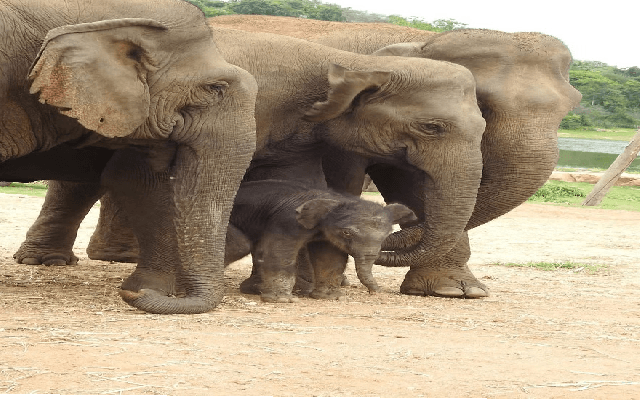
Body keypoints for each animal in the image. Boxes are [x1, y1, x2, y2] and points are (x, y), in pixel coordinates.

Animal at [224, 179, 417, 302]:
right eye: (347, 233)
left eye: (386, 235)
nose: (375, 292)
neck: (335, 198)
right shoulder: (286, 221)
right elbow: (279, 250)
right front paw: (282, 300)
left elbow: (329, 257)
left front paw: (329, 298)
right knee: (240, 245)